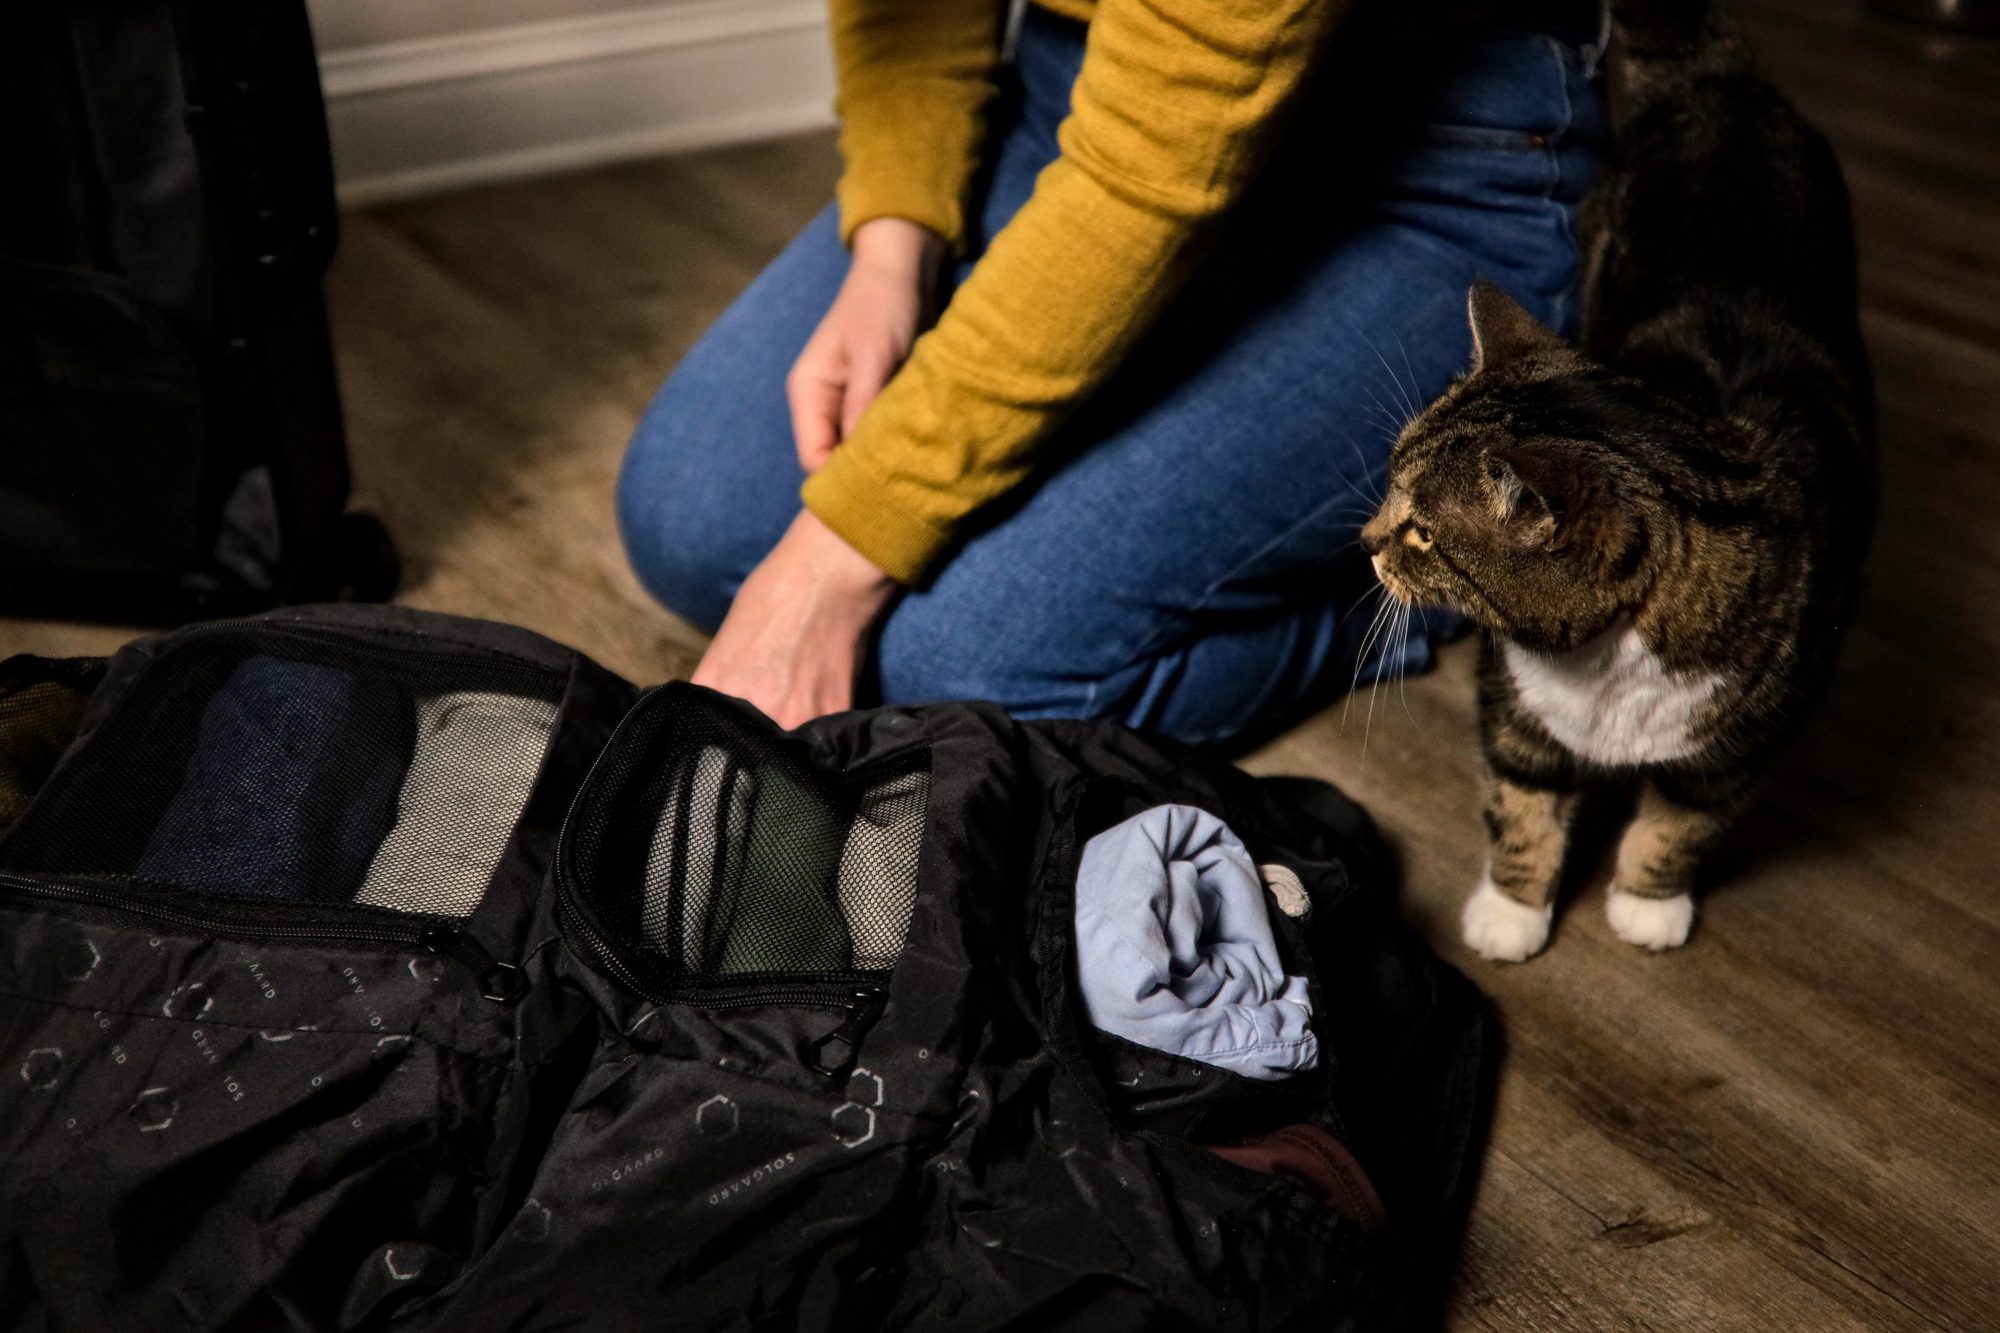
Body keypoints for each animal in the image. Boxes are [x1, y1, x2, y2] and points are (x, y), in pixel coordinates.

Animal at [1360, 0, 1872, 956]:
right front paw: (1511, 912)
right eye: (1390, 491)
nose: (1365, 542)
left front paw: (1648, 905)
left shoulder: (1749, 738)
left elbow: (1684, 821)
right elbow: (1521, 797)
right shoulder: (1512, 698)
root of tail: (1725, 81)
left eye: (1423, 531)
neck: (1605, 662)